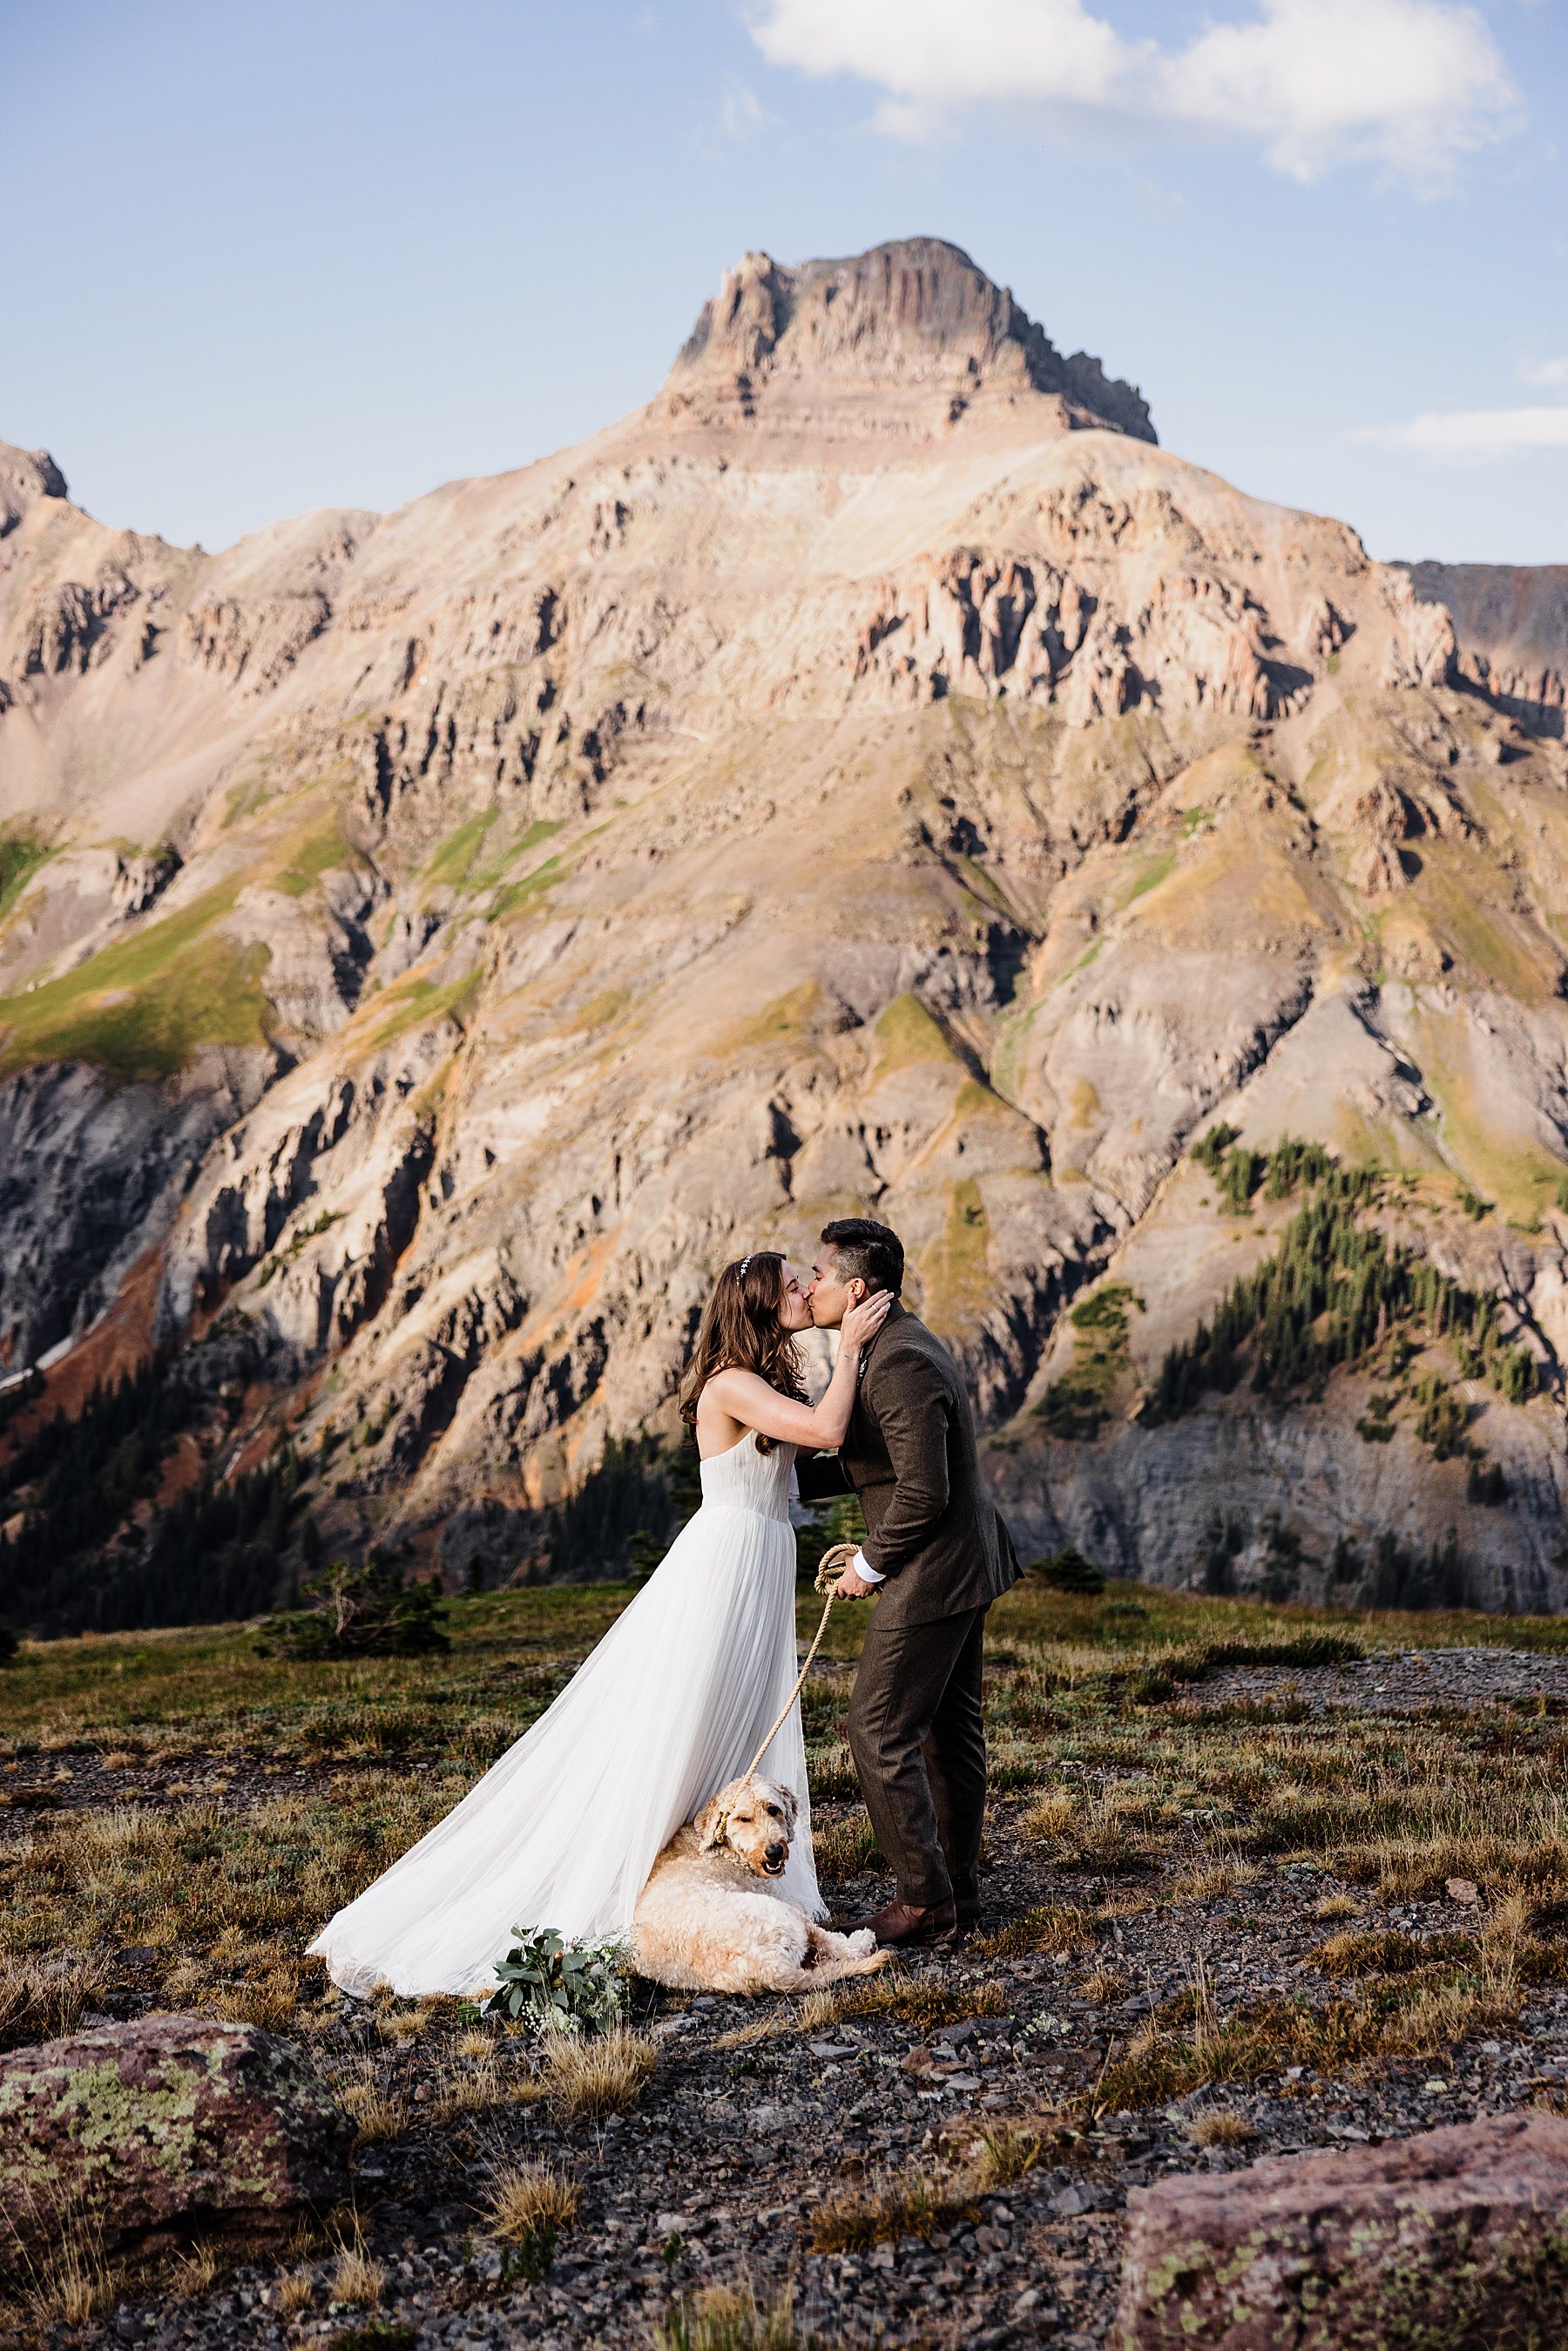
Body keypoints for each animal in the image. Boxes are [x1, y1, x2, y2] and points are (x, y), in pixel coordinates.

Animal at [630, 1767, 889, 1993]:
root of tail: (768, 1969)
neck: (728, 1851)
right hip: (782, 1914)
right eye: (743, 1819)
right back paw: (861, 1940)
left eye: (773, 1809)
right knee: (830, 1943)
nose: (774, 1851)